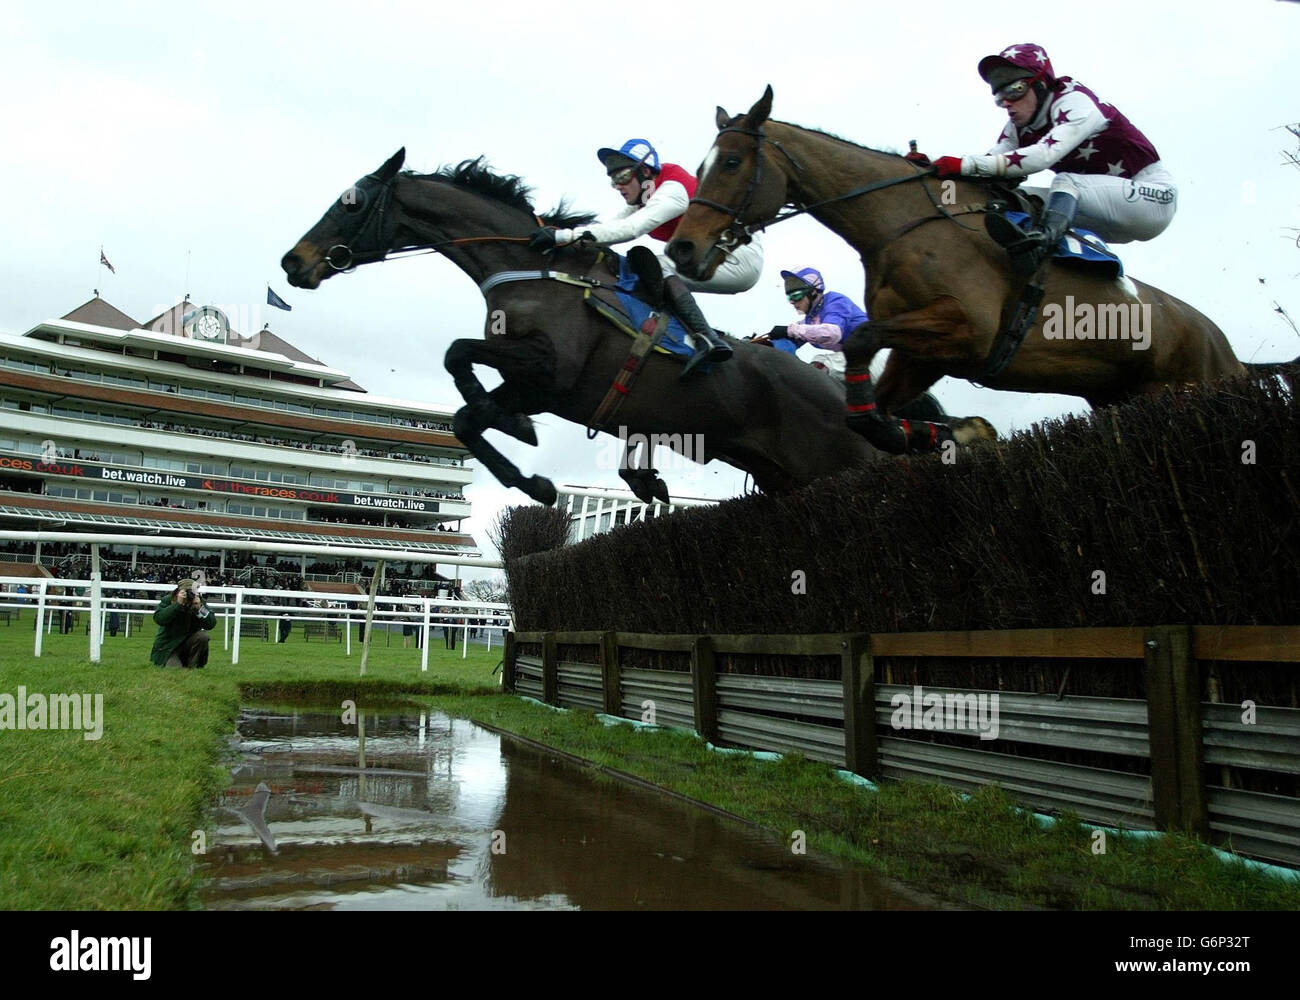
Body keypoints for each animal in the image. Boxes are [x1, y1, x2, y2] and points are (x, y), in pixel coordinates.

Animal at [282, 149, 993, 507]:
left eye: (350, 203)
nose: (294, 261)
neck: (532, 270)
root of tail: (841, 393)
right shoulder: (533, 379)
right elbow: (465, 405)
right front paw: (525, 456)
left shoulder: (552, 370)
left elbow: (461, 362)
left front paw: (528, 457)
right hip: (788, 477)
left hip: (842, 461)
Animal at [665, 87, 1294, 455]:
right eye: (704, 162)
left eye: (730, 161)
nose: (682, 249)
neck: (904, 225)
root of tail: (1228, 351)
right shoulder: (923, 354)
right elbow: (870, 396)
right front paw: (909, 429)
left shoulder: (968, 331)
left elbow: (861, 335)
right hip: (1119, 397)